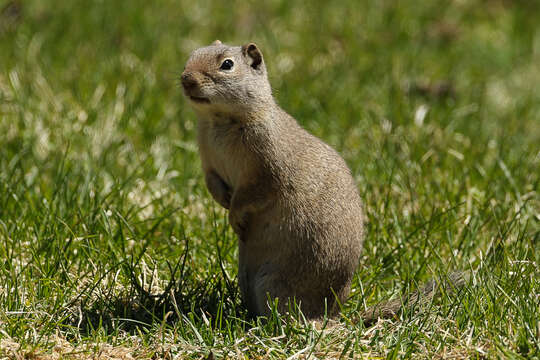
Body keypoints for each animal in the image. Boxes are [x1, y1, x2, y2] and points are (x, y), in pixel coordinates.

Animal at [182, 40, 368, 320]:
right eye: (193, 54)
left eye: (227, 64)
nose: (186, 79)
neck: (220, 122)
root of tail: (332, 314)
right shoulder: (208, 162)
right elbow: (212, 182)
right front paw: (224, 201)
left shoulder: (264, 172)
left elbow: (251, 195)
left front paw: (234, 216)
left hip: (272, 284)